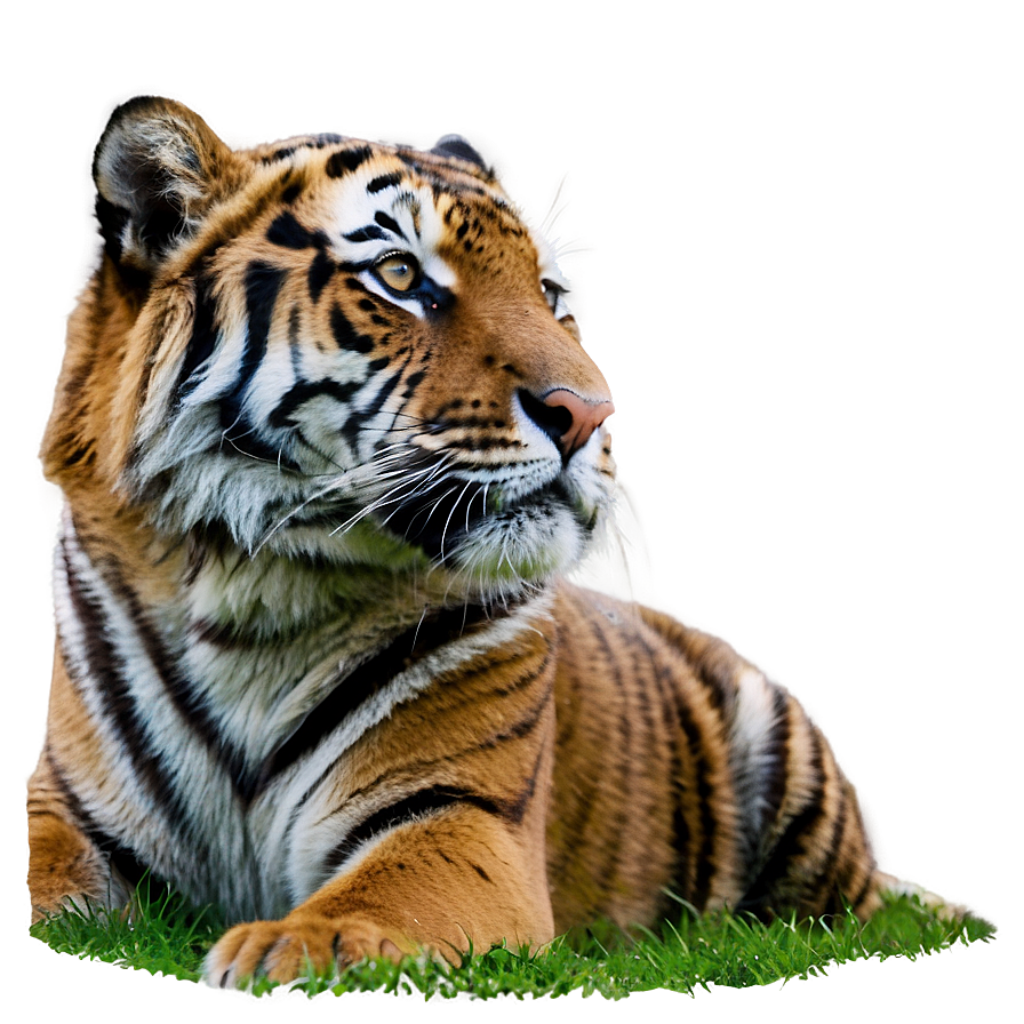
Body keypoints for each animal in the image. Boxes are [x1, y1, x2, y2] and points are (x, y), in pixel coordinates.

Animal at [27, 90, 972, 994]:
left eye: (551, 295)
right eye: (401, 276)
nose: (591, 414)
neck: (252, 594)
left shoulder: (461, 812)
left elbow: (381, 896)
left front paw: (294, 947)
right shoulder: (59, 804)